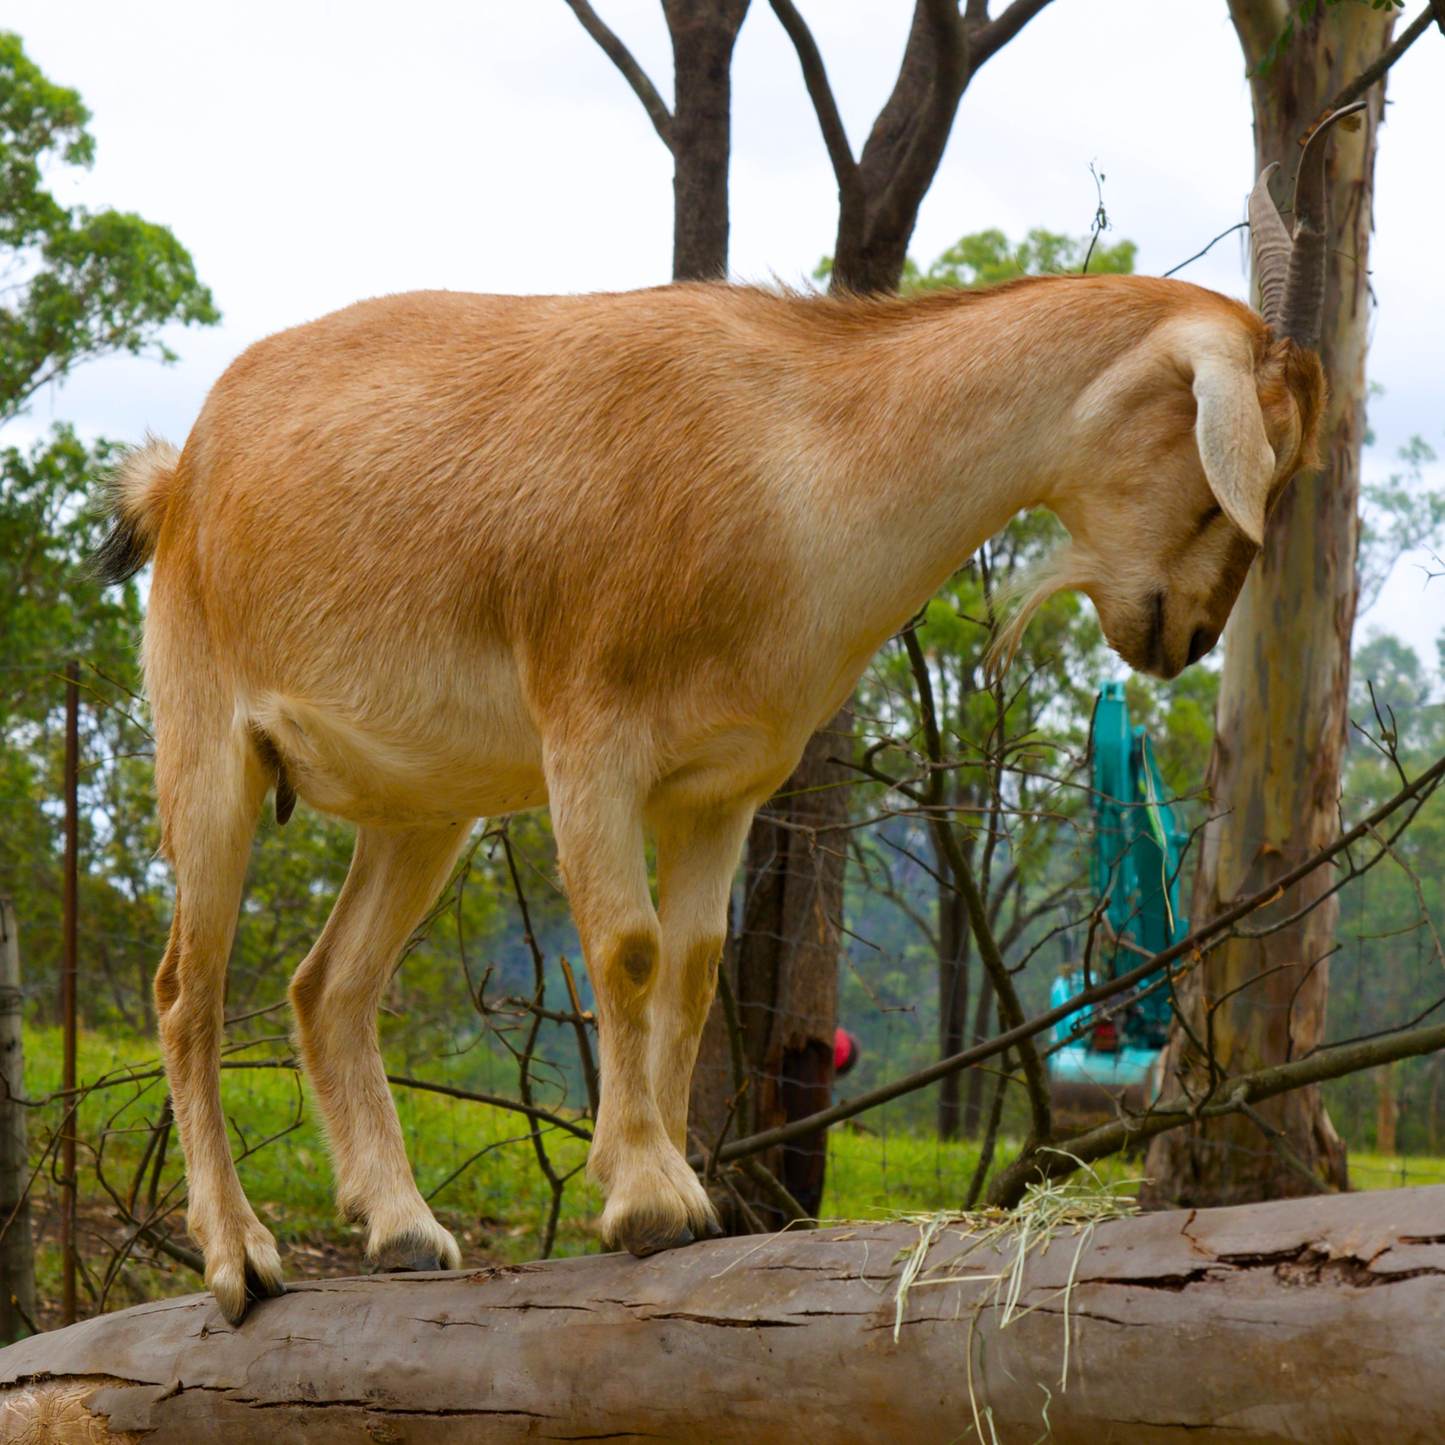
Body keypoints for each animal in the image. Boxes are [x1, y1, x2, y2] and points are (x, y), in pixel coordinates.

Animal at [95, 113, 1353, 1325]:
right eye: (1228, 477)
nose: (1182, 636)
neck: (793, 457)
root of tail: (180, 471)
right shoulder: (589, 738)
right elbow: (626, 944)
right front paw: (649, 1193)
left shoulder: (724, 785)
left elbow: (694, 964)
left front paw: (661, 1185)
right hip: (206, 745)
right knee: (183, 992)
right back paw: (240, 1257)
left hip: (422, 807)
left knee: (328, 984)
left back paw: (404, 1229)